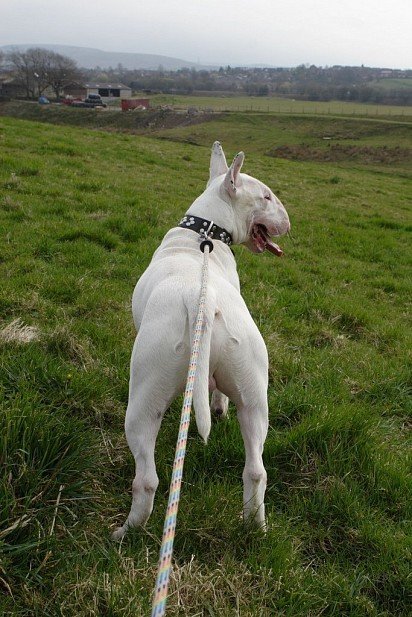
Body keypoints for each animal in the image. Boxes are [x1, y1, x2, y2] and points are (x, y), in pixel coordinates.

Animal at [113, 142, 290, 536]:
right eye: (267, 196)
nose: (289, 221)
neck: (204, 236)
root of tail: (203, 301)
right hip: (255, 393)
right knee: (256, 468)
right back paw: (256, 526)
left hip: (144, 395)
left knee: (146, 479)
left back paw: (126, 531)